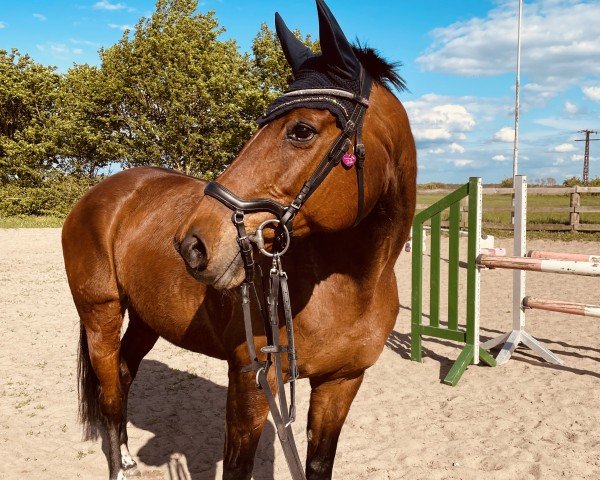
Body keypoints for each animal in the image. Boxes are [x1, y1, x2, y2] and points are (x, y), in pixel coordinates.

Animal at [62, 1, 418, 478]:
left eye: (301, 130)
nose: (193, 245)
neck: (350, 288)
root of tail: (96, 195)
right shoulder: (252, 383)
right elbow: (237, 465)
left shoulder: (341, 383)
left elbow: (318, 462)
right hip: (100, 316)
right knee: (110, 392)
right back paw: (119, 465)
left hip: (145, 318)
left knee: (123, 373)